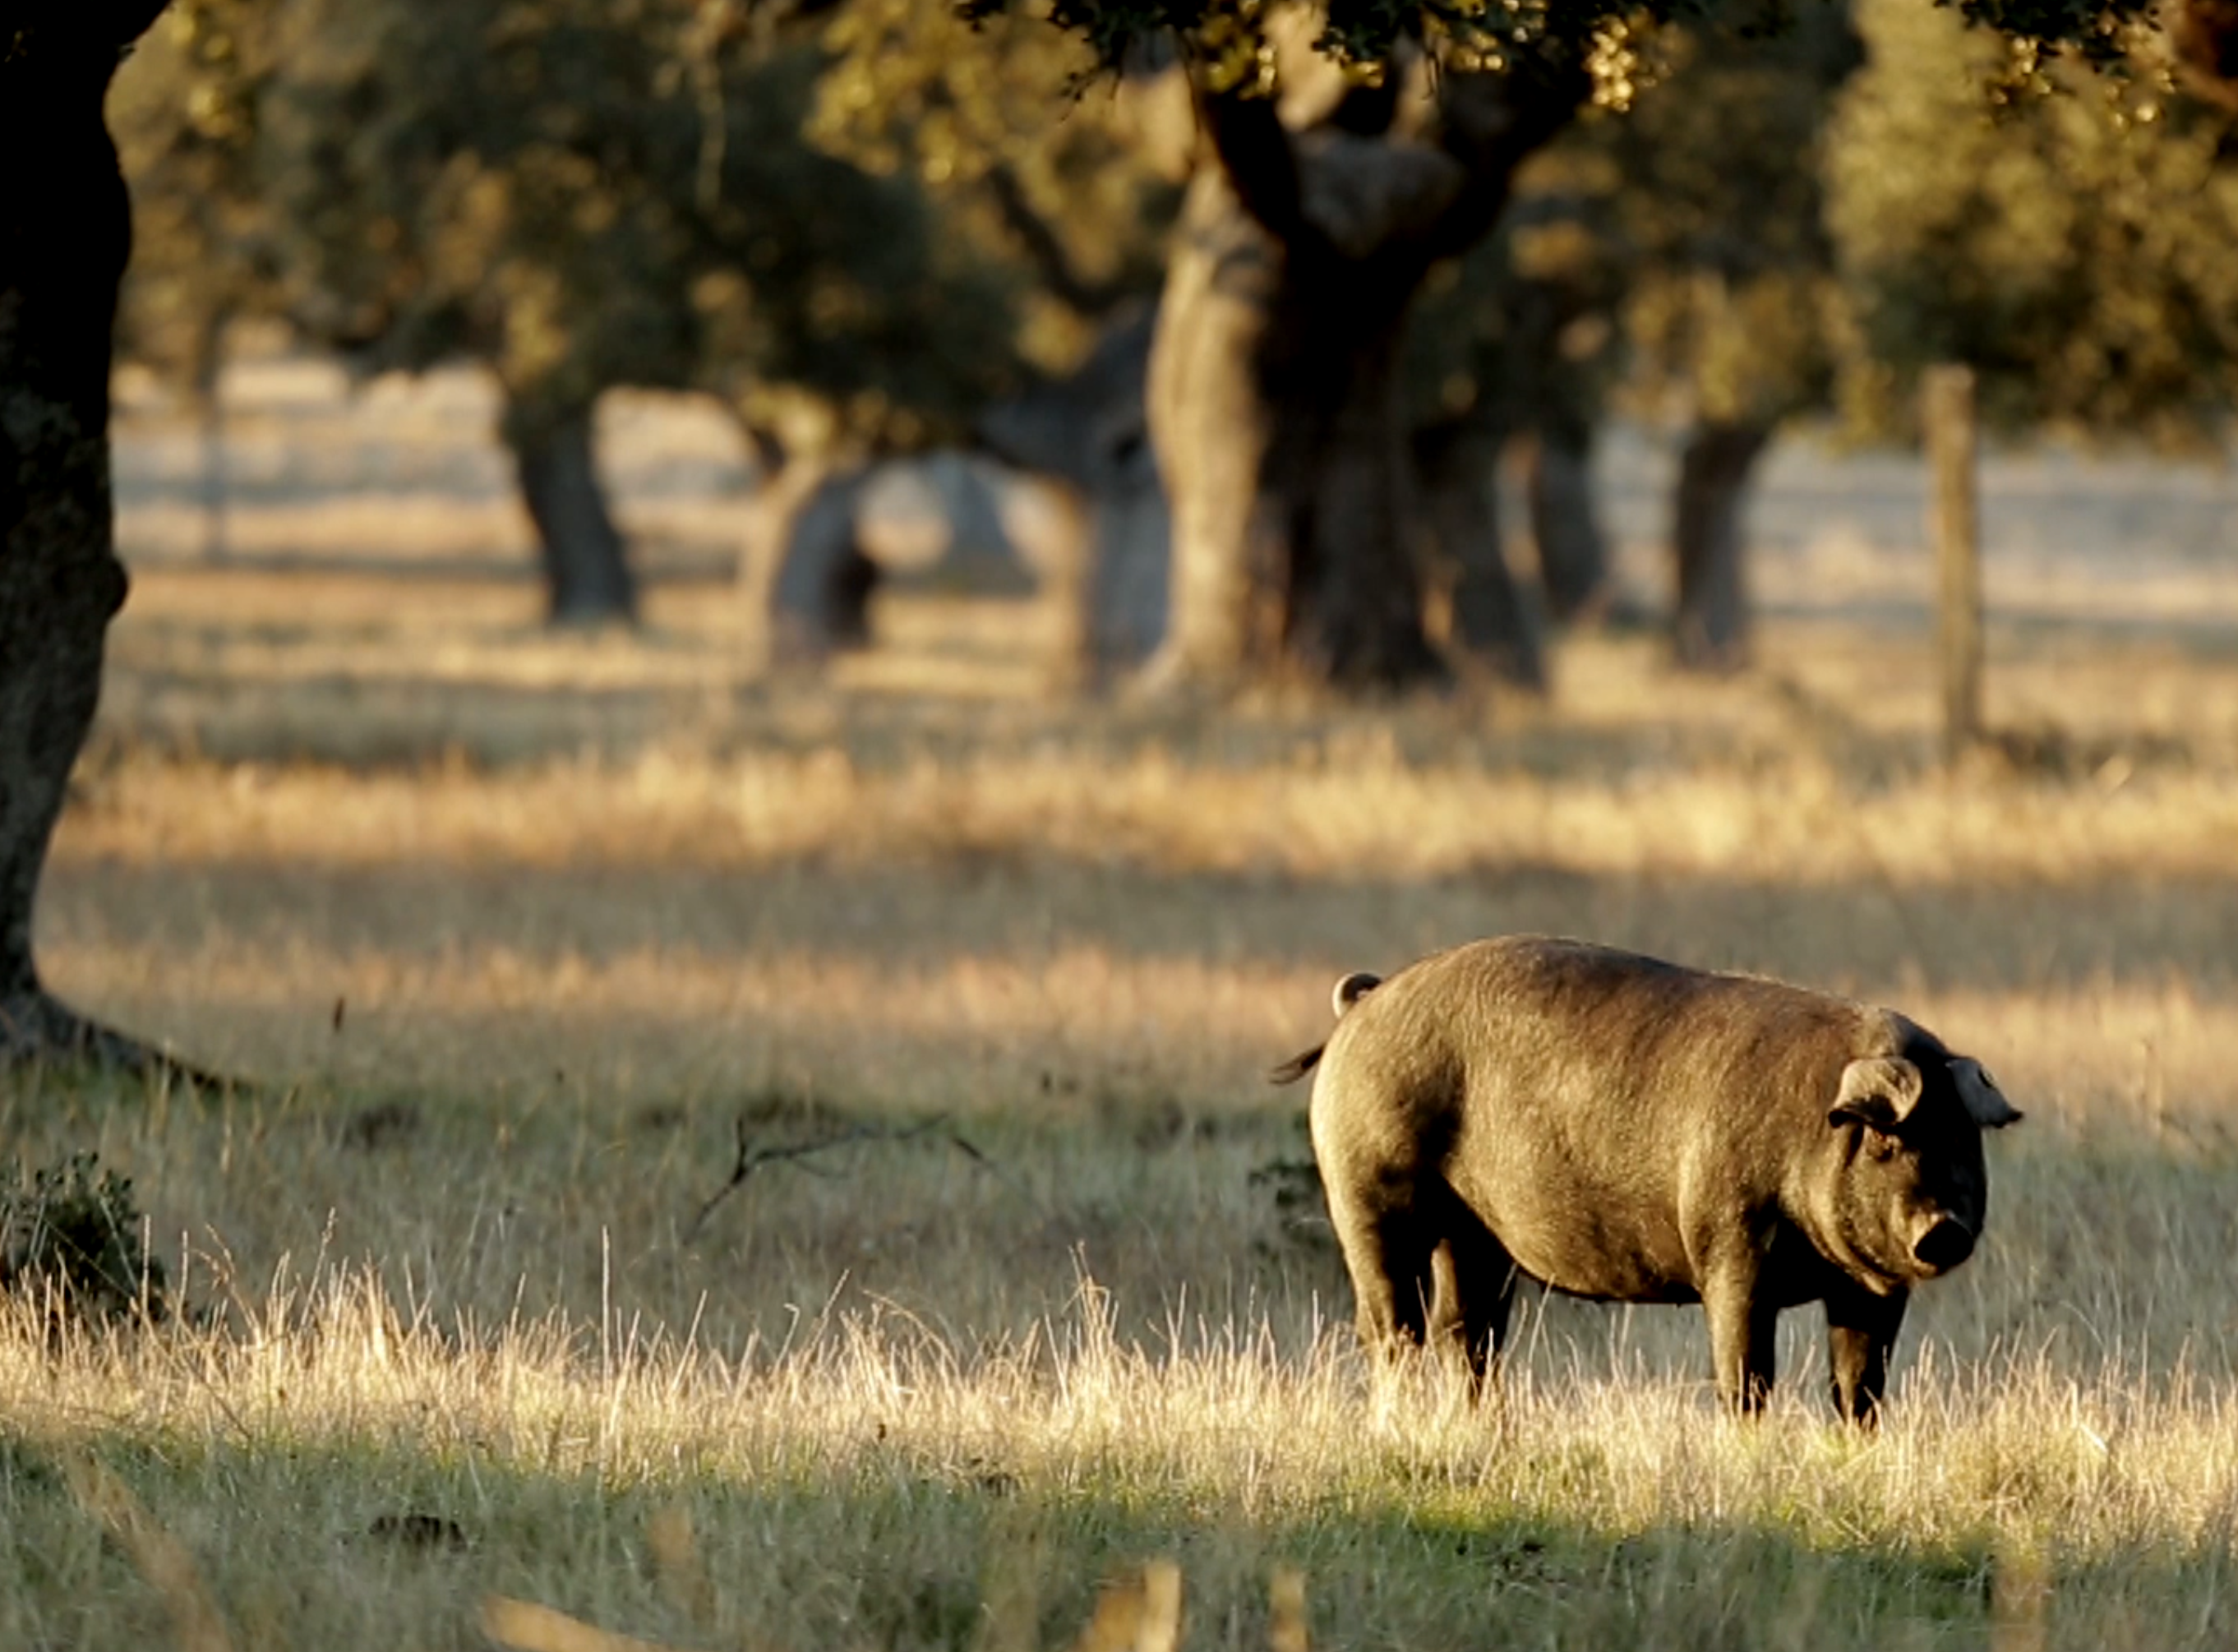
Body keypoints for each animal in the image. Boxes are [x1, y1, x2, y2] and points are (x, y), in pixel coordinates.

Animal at [1280, 931, 2032, 1424]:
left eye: (1962, 1135)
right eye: (1884, 1135)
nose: (1942, 1229)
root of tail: (1362, 1005)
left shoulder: (1872, 1289)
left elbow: (1858, 1387)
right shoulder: (1730, 1250)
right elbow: (1745, 1378)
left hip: (1474, 1238)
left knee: (1466, 1335)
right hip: (1368, 1198)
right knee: (1392, 1328)